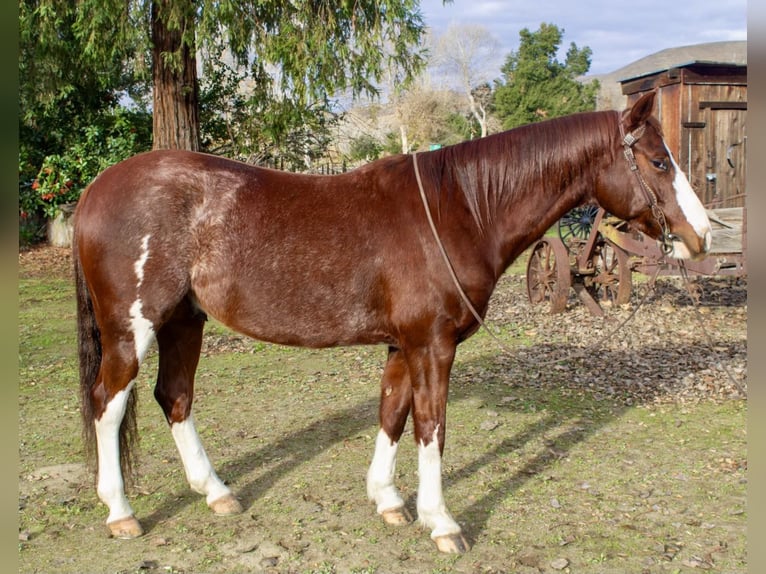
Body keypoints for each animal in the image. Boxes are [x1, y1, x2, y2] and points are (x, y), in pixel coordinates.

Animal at [73, 92, 712, 556]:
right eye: (659, 162)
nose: (702, 235)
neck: (461, 207)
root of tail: (94, 192)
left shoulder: (404, 345)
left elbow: (393, 414)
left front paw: (388, 501)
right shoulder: (432, 345)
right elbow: (431, 425)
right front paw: (442, 522)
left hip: (185, 321)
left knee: (174, 397)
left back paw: (217, 494)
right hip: (133, 328)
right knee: (109, 403)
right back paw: (122, 513)